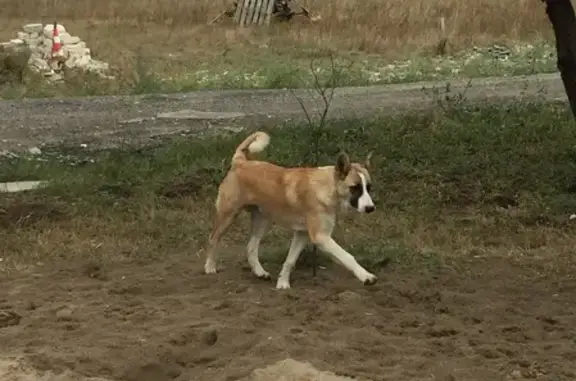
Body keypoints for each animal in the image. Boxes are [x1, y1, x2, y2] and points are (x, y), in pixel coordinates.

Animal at [204, 131, 378, 288]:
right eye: (354, 188)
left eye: (368, 187)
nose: (370, 208)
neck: (327, 187)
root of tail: (240, 162)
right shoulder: (320, 237)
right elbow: (347, 256)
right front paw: (366, 276)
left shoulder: (302, 234)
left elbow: (290, 260)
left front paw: (282, 284)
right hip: (227, 216)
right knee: (213, 239)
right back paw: (209, 267)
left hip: (263, 221)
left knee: (251, 247)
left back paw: (260, 272)